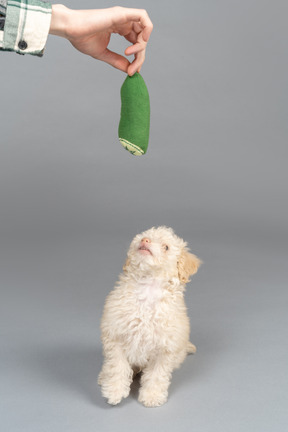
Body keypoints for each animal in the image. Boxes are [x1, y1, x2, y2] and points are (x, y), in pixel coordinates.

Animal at [98, 228, 201, 406]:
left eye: (166, 247)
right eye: (144, 236)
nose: (145, 240)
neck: (148, 288)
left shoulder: (164, 348)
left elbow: (156, 374)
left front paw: (152, 395)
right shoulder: (115, 335)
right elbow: (117, 366)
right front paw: (114, 390)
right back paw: (103, 376)